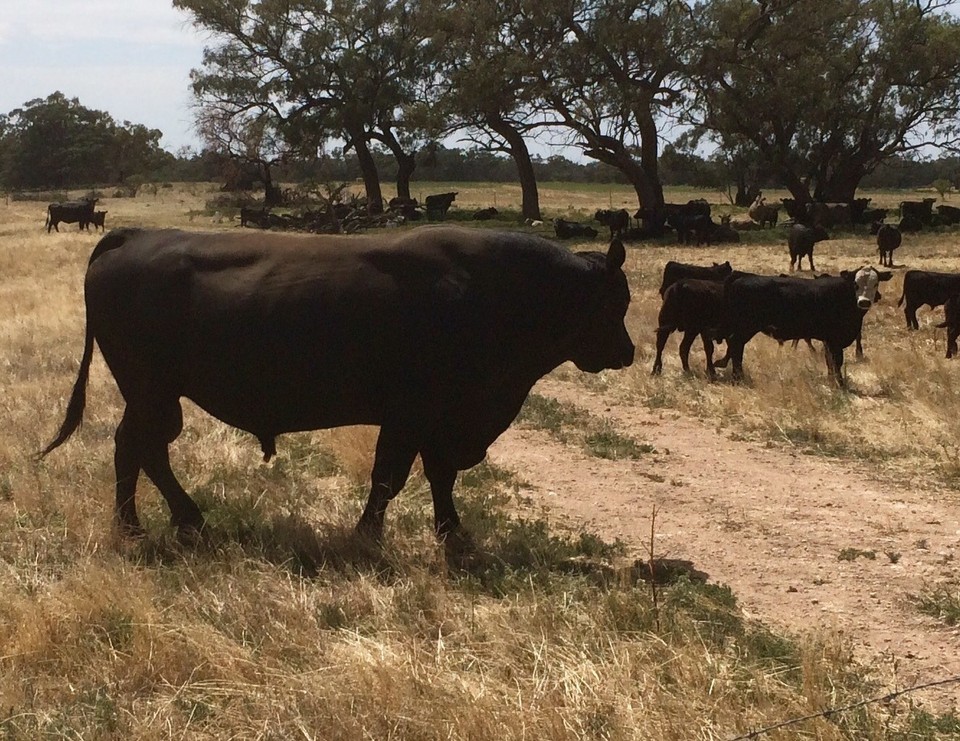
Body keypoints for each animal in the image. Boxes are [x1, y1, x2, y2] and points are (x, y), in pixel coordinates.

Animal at [39, 227, 636, 548]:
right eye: (616, 302)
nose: (628, 352)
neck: (488, 290)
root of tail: (134, 235)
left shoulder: (431, 421)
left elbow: (435, 477)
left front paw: (452, 535)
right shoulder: (414, 415)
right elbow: (392, 478)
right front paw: (369, 536)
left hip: (158, 397)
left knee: (145, 451)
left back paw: (182, 522)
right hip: (151, 393)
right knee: (134, 448)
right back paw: (139, 528)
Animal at [724, 270, 896, 388]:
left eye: (876, 283)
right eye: (856, 284)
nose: (864, 302)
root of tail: (741, 276)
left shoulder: (828, 341)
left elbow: (829, 361)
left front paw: (831, 380)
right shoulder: (834, 340)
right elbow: (837, 361)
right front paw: (839, 383)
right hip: (746, 328)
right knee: (736, 347)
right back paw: (738, 377)